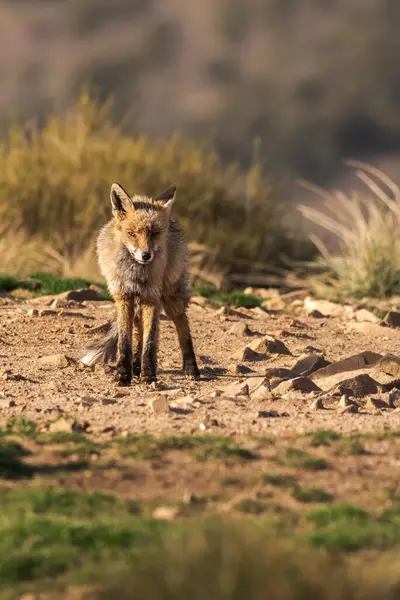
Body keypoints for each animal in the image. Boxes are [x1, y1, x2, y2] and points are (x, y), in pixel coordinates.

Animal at [80, 183, 200, 386]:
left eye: (154, 234)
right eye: (131, 233)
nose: (146, 255)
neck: (136, 274)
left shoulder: (151, 297)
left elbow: (150, 341)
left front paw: (149, 375)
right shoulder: (123, 296)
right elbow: (124, 342)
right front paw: (123, 375)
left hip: (170, 297)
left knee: (182, 325)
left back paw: (191, 368)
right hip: (139, 304)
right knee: (138, 332)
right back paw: (135, 366)